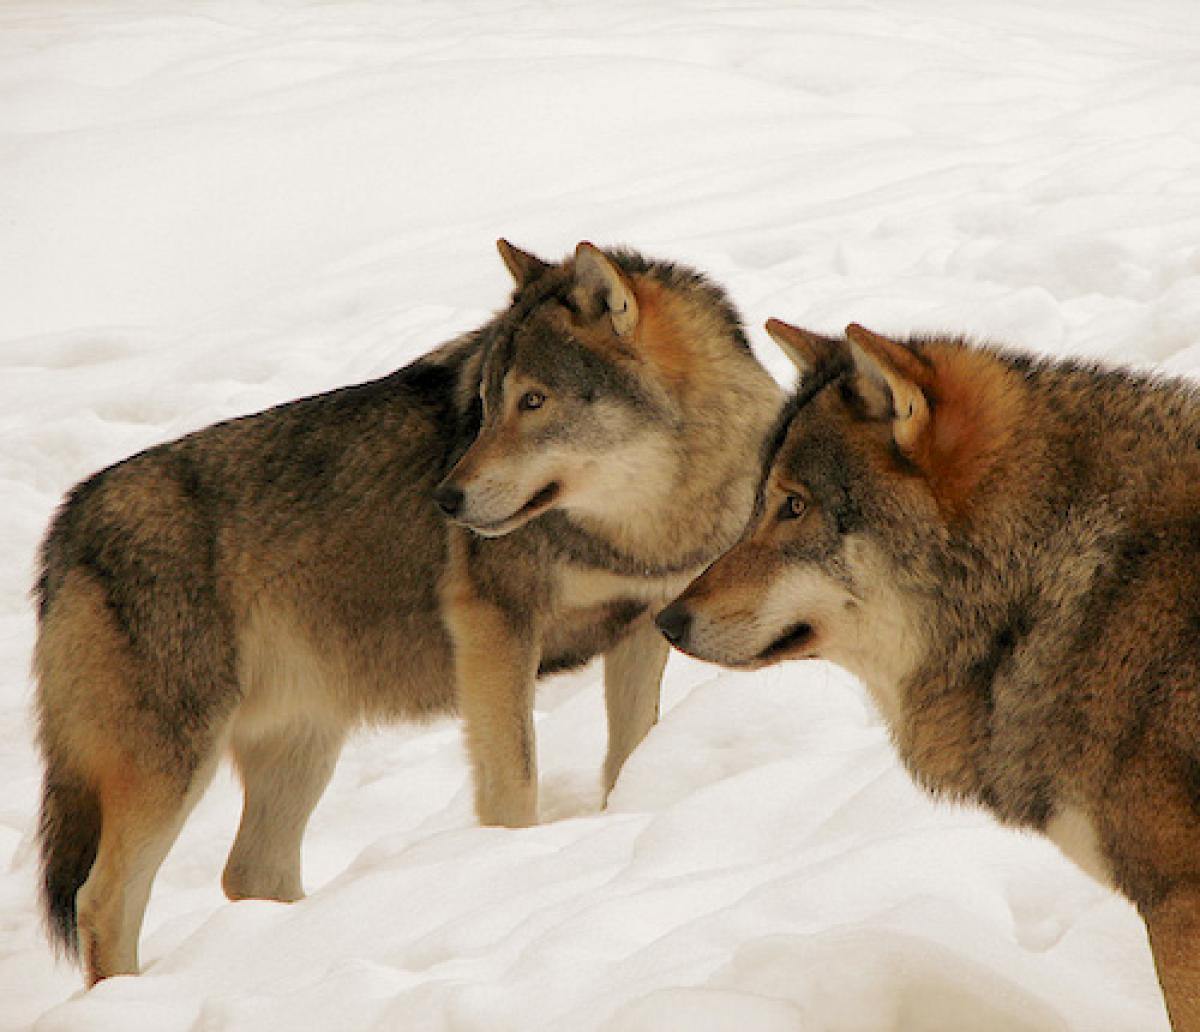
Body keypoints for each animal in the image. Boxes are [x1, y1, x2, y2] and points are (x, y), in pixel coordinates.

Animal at [32, 240, 782, 984]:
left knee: (251, 873)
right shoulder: (495, 631)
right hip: (177, 762)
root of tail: (65, 528)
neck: (644, 525)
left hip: (302, 745)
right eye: (484, 404)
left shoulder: (643, 624)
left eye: (533, 401)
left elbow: (629, 755)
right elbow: (514, 784)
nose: (445, 498)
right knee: (104, 899)